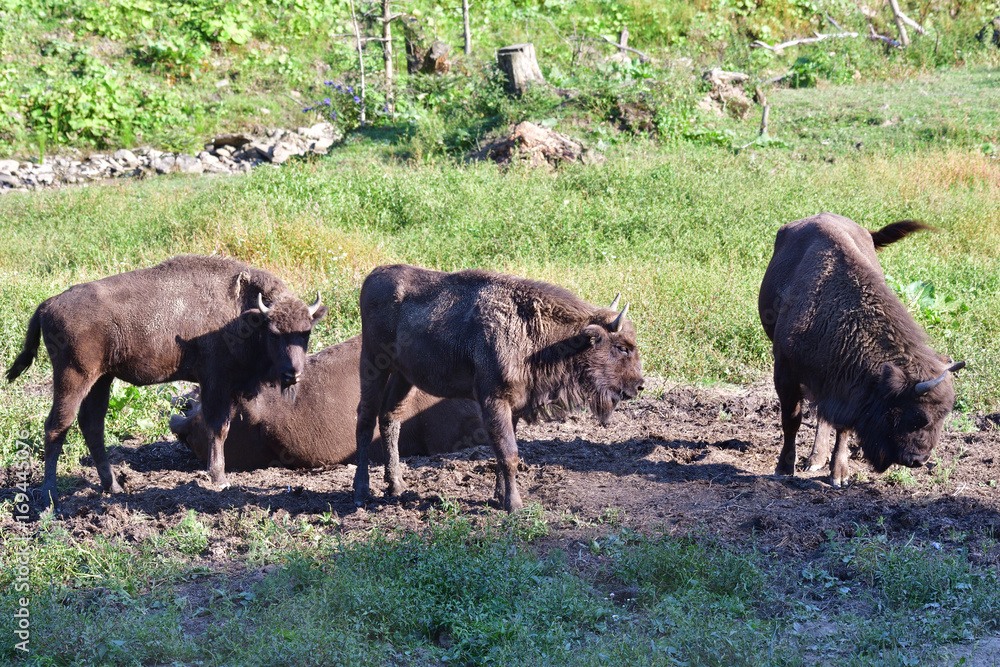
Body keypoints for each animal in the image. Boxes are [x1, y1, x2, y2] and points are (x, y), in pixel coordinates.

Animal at [6, 255, 327, 507]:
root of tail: (47, 305)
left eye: (306, 332)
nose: (293, 373)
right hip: (72, 378)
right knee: (57, 426)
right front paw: (219, 478)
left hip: (101, 379)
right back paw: (50, 497)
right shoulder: (216, 383)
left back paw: (114, 487)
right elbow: (218, 428)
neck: (244, 314)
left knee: (92, 425)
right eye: (273, 333)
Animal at [354, 264, 644, 511]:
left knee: (390, 418)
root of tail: (374, 275)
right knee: (366, 420)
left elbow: (503, 451)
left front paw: (498, 496)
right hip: (373, 364)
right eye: (622, 347)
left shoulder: (514, 405)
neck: (533, 331)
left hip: (404, 376)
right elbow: (508, 453)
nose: (639, 385)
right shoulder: (495, 401)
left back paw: (397, 486)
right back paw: (361, 491)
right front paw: (513, 505)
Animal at [758, 213, 964, 487]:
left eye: (944, 416)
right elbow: (791, 420)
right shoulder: (785, 372)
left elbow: (842, 427)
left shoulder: (846, 386)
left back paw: (818, 458)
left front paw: (839, 475)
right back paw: (813, 460)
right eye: (917, 417)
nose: (919, 460)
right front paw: (783, 469)